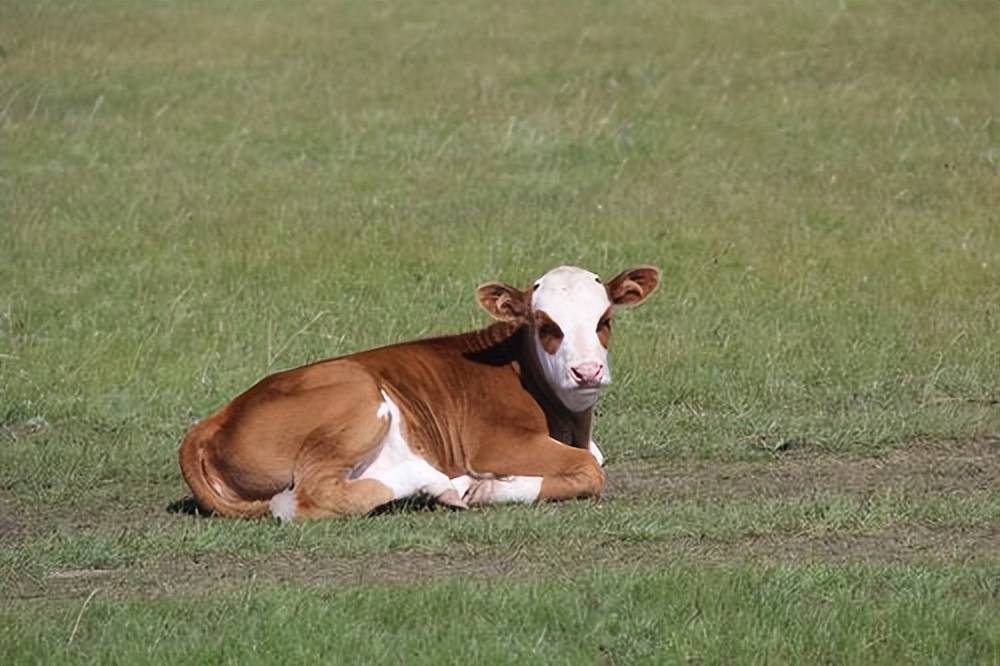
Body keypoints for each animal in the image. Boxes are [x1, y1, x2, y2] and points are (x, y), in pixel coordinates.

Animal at [178, 264, 664, 520]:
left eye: (605, 320)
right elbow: (589, 469)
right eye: (546, 326)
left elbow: (595, 459)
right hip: (358, 397)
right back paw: (440, 483)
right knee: (307, 498)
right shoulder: (496, 442)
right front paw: (492, 490)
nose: (588, 371)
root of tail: (213, 420)